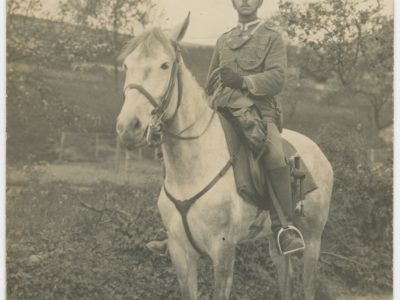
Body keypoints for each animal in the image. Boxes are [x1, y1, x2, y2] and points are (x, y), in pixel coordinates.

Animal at [116, 16, 334, 300]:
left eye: (164, 65)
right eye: (126, 65)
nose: (128, 127)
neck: (192, 170)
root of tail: (318, 153)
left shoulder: (223, 252)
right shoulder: (180, 253)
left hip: (312, 239)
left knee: (307, 286)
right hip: (275, 241)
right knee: (285, 279)